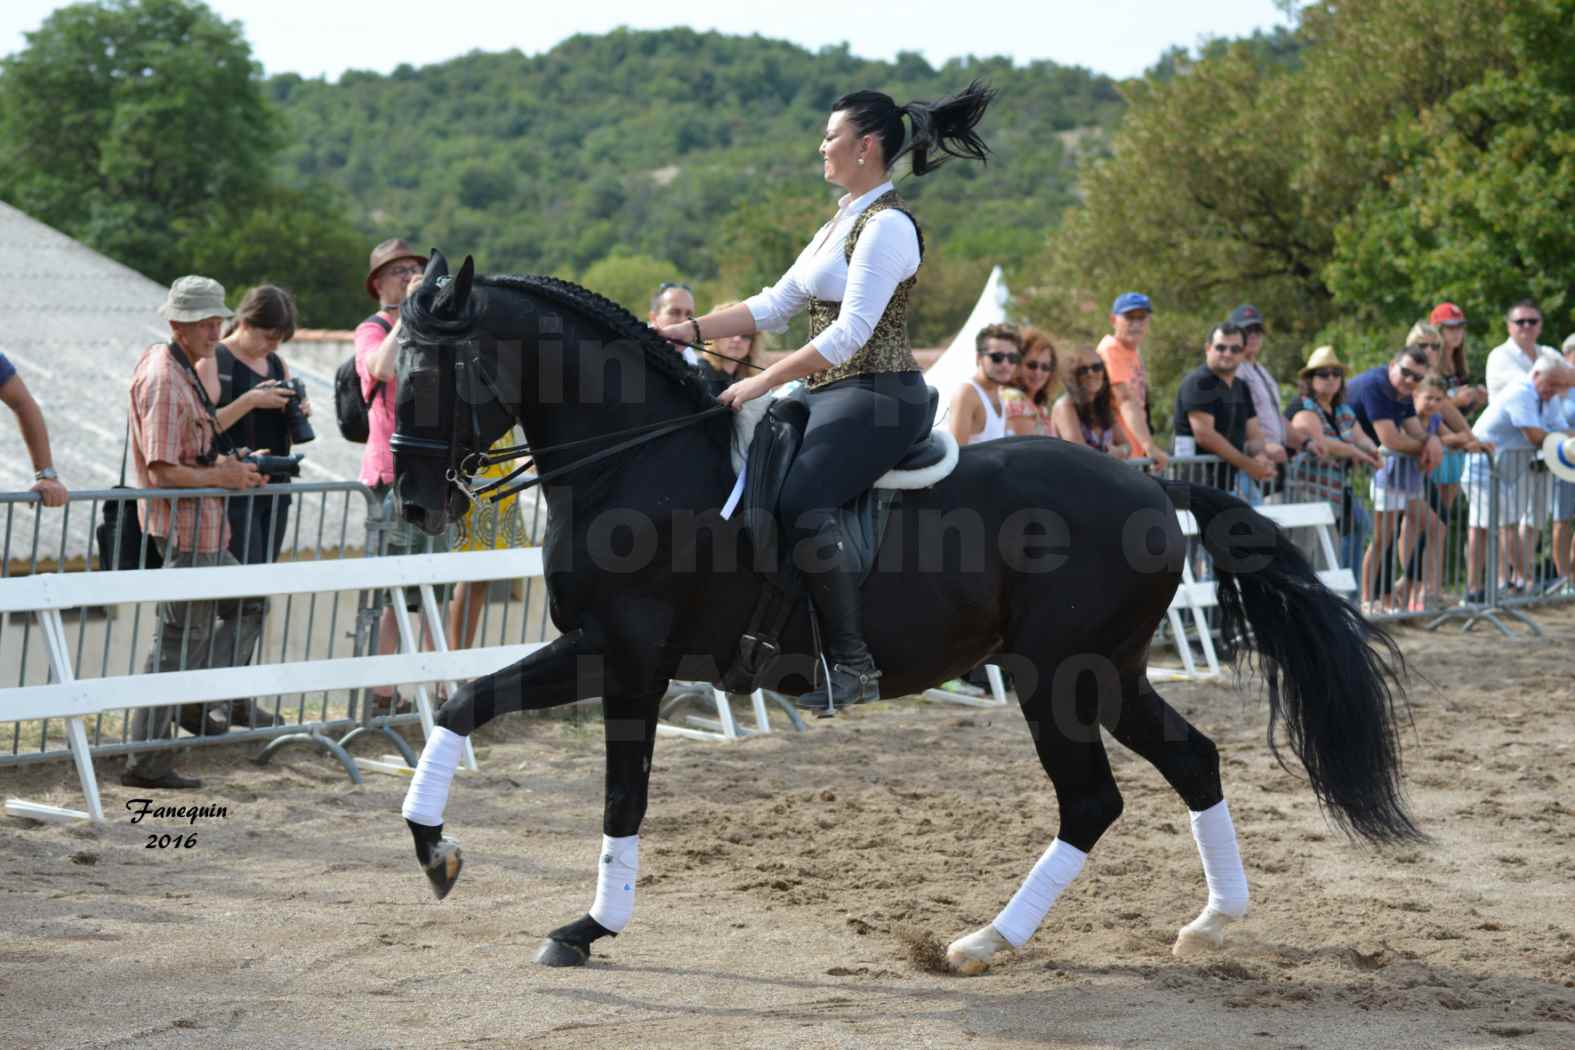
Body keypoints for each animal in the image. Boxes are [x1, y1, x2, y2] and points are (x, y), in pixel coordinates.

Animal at [384, 255, 1417, 976]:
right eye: (386, 373)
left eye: (433, 370)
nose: (411, 505)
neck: (641, 461)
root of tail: (1148, 481)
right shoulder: (601, 654)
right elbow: (461, 708)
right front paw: (443, 855)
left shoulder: (625, 655)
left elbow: (610, 792)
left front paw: (571, 919)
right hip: (1110, 671)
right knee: (1189, 761)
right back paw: (1209, 922)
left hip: (1059, 676)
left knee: (1093, 798)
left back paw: (987, 941)